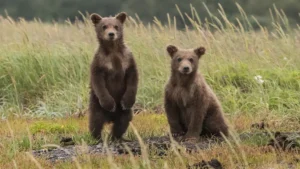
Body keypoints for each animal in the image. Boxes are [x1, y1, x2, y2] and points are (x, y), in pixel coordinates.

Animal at [87, 12, 138, 141]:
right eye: (104, 26)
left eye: (116, 26)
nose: (111, 34)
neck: (113, 49)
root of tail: (110, 118)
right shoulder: (100, 62)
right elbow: (98, 82)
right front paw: (110, 104)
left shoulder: (127, 59)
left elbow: (133, 78)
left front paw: (127, 101)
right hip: (96, 104)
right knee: (96, 120)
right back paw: (97, 137)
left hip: (124, 113)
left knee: (123, 121)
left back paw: (116, 137)